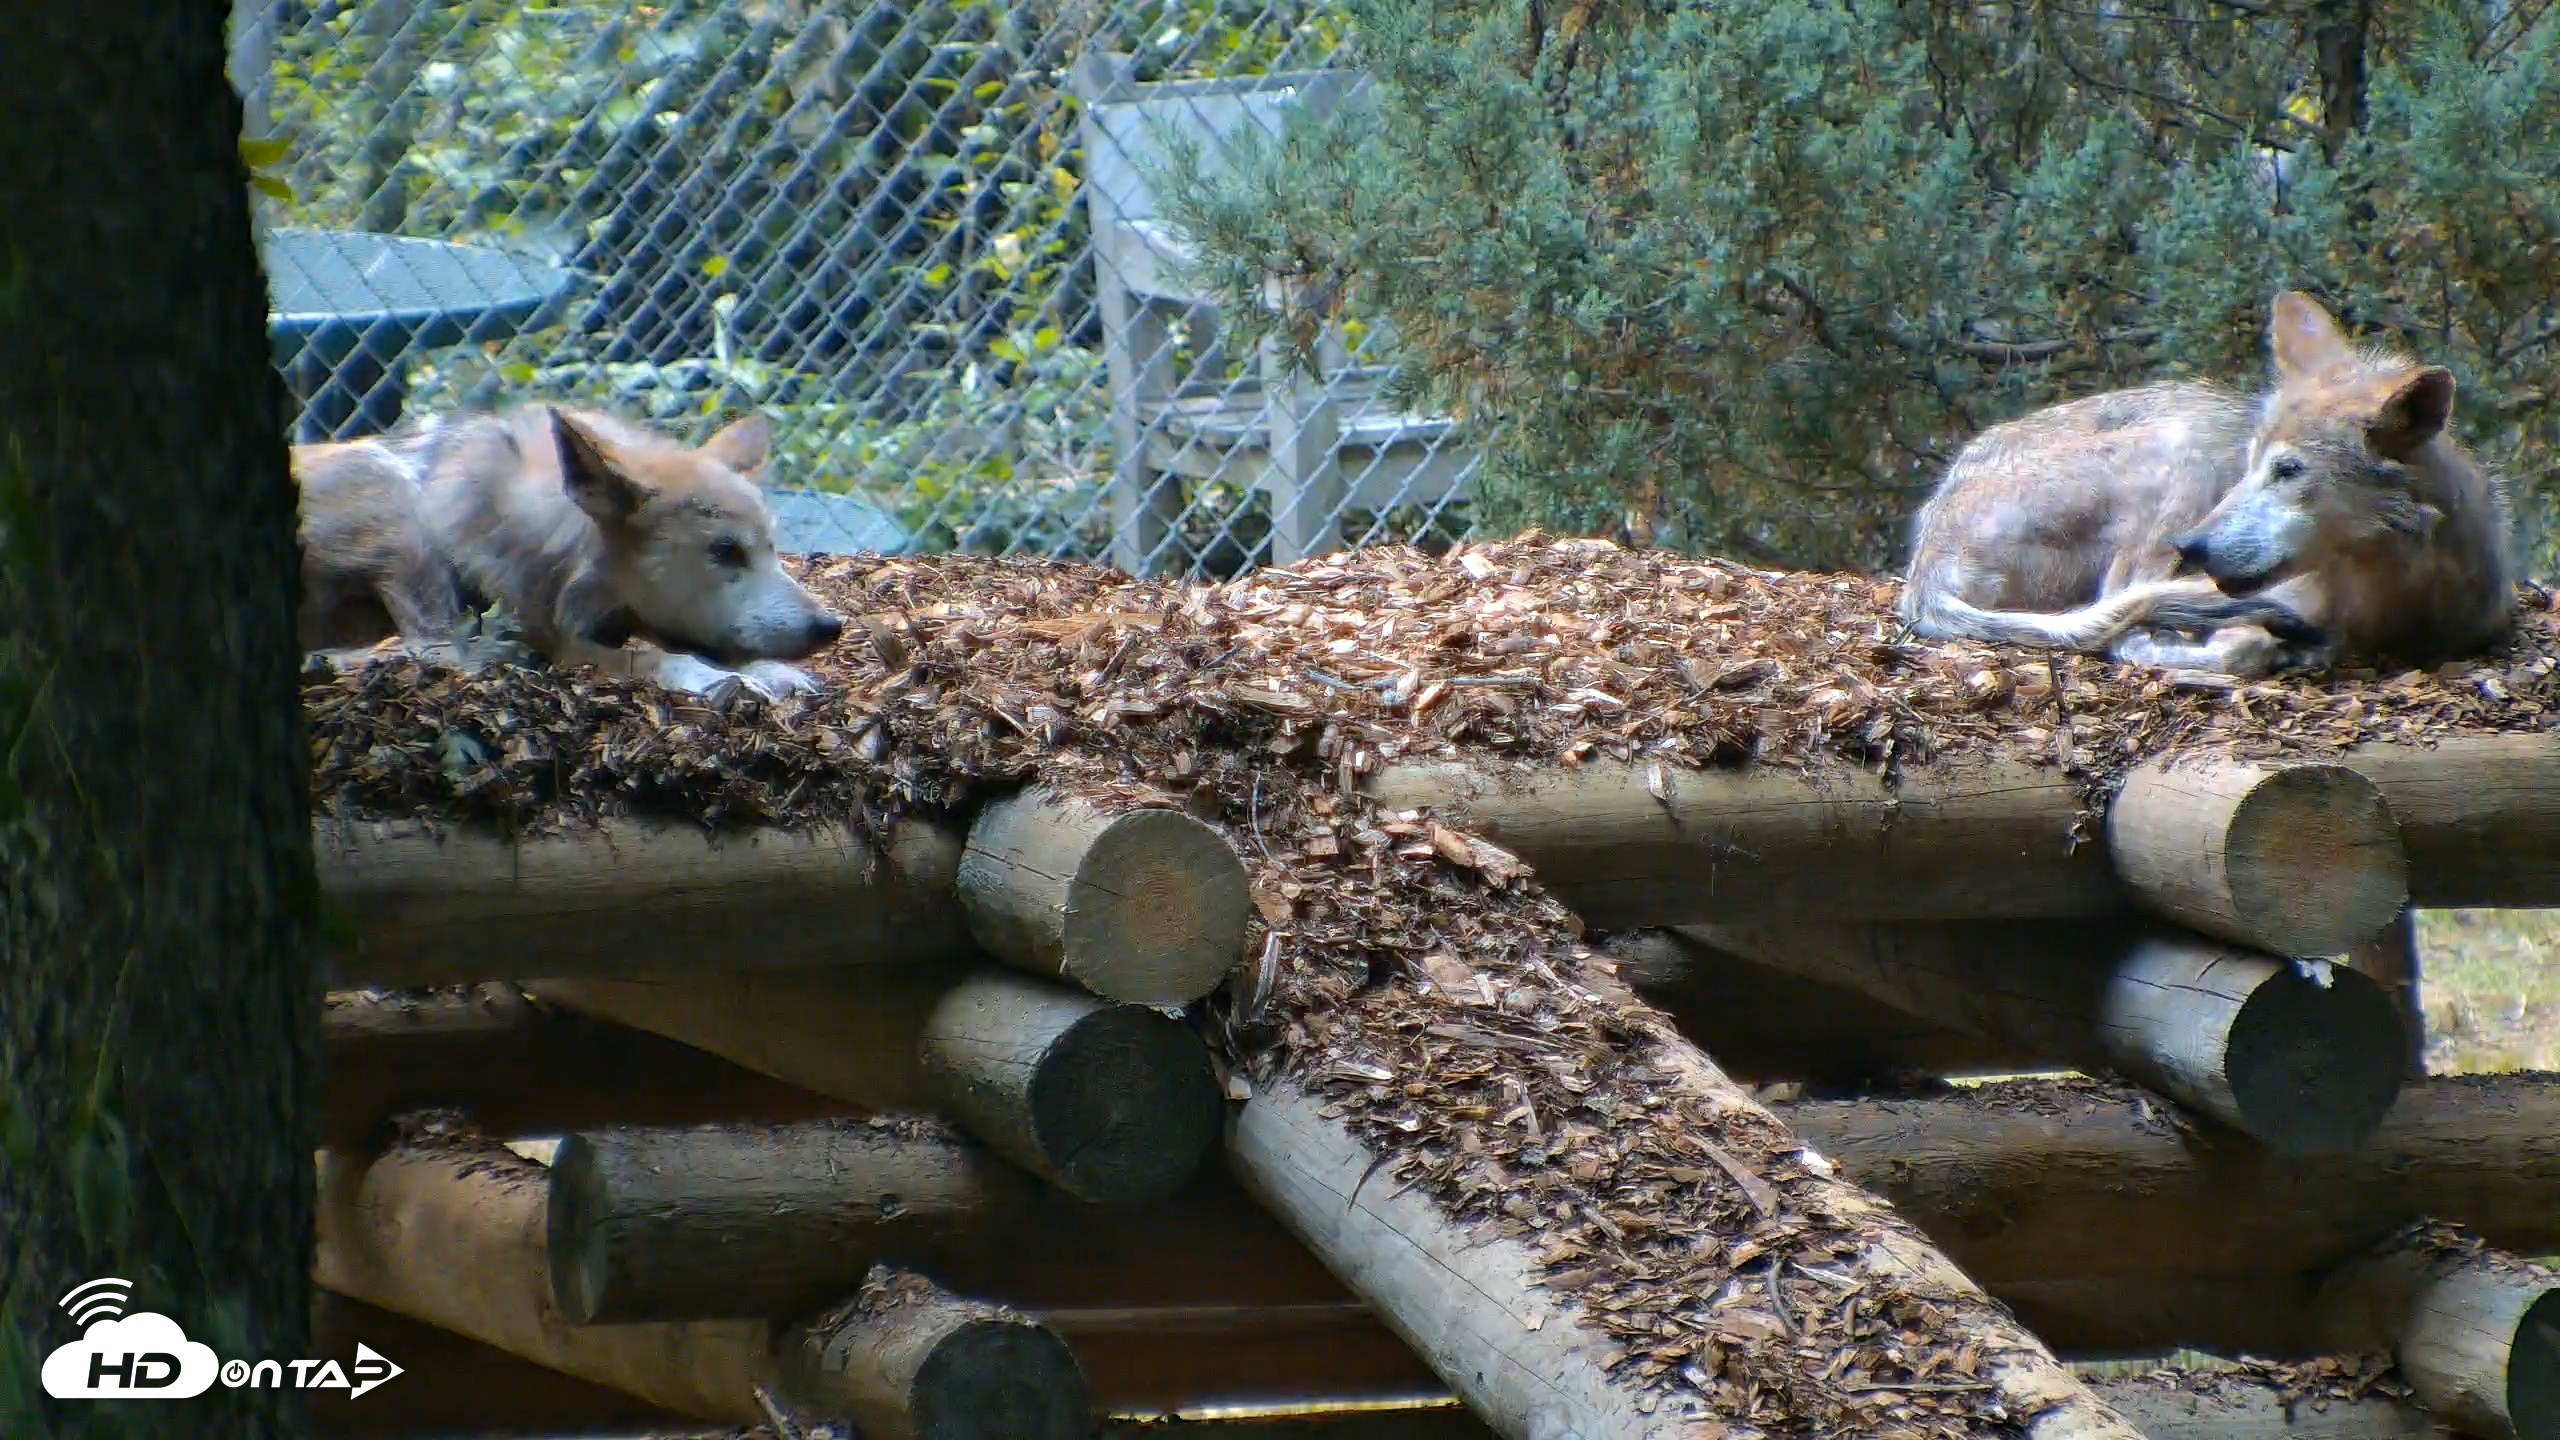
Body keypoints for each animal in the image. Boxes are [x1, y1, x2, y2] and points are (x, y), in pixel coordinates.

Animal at [1898, 291, 2514, 678]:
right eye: (2248, 464)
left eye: (2287, 471)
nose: (2190, 548)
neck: (2393, 597)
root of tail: (1925, 563)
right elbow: (2223, 647)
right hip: (2181, 456)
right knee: (2122, 601)